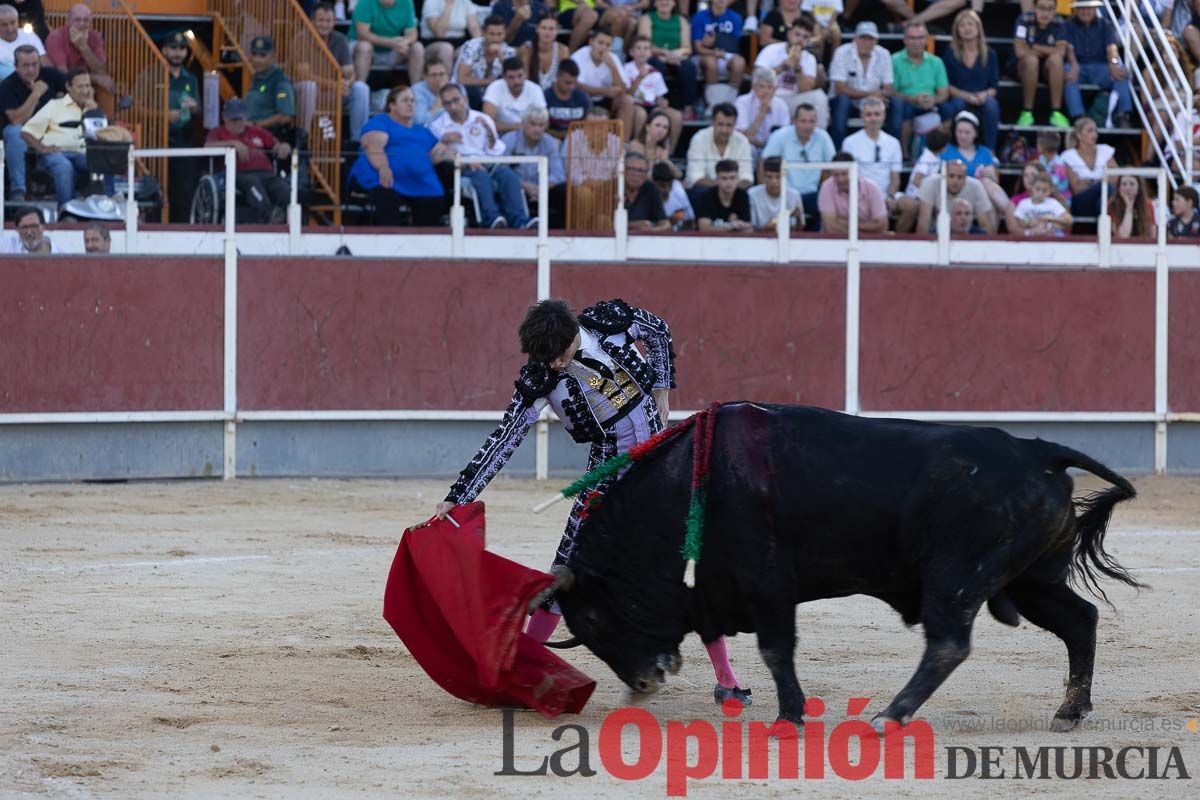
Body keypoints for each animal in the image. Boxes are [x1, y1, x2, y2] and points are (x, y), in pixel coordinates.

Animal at [544, 402, 1142, 734]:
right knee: (1080, 620)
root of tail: (1037, 451)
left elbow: (776, 650)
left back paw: (889, 716)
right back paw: (1070, 712)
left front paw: (789, 718)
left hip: (956, 576)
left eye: (592, 619)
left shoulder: (768, 585)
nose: (644, 683)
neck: (690, 488)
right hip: (1032, 578)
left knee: (949, 643)